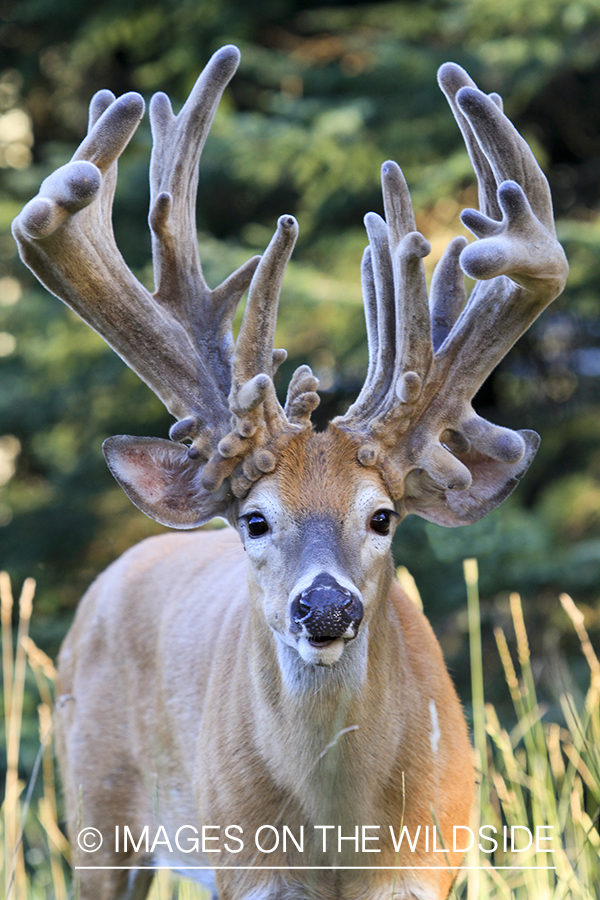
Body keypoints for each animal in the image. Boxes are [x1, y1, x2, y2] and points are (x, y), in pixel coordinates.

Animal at [12, 45, 568, 900]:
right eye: (255, 518)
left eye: (382, 516)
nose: (328, 607)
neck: (340, 843)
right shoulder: (247, 867)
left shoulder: (432, 863)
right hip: (97, 807)